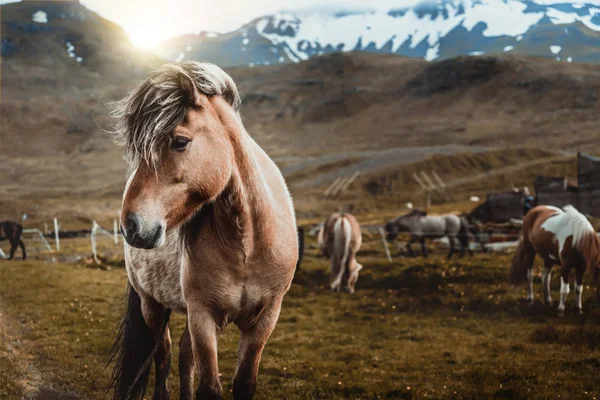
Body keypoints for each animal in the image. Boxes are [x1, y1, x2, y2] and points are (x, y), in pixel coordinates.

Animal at [107, 62, 298, 400]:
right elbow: (209, 387)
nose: (131, 226)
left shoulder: (266, 318)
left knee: (184, 357)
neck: (247, 246)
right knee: (164, 356)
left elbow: (243, 383)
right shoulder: (203, 315)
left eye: (180, 141)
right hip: (151, 304)